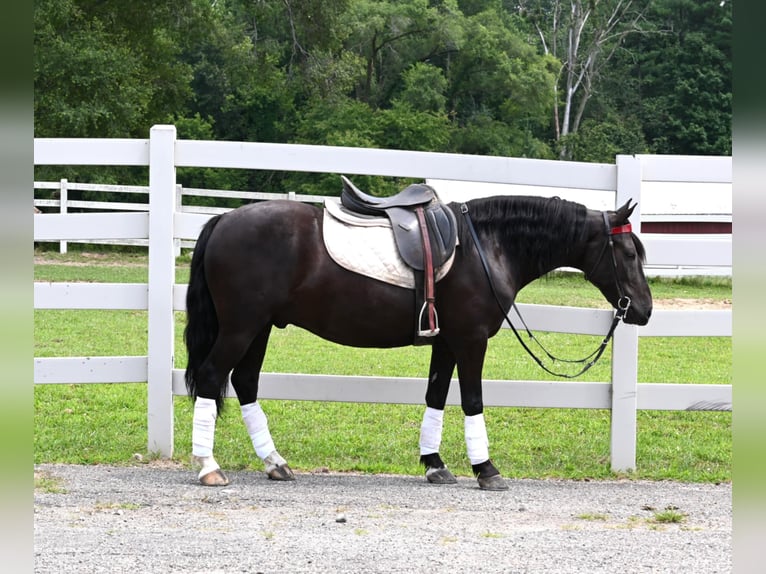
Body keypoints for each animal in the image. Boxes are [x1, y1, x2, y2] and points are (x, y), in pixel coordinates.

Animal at [184, 186, 652, 491]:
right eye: (630, 253)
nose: (644, 310)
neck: (486, 247)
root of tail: (223, 219)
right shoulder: (471, 340)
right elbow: (472, 400)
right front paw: (486, 469)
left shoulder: (446, 343)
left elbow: (435, 397)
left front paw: (434, 464)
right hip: (241, 326)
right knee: (211, 377)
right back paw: (209, 466)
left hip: (259, 327)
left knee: (245, 383)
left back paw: (274, 462)